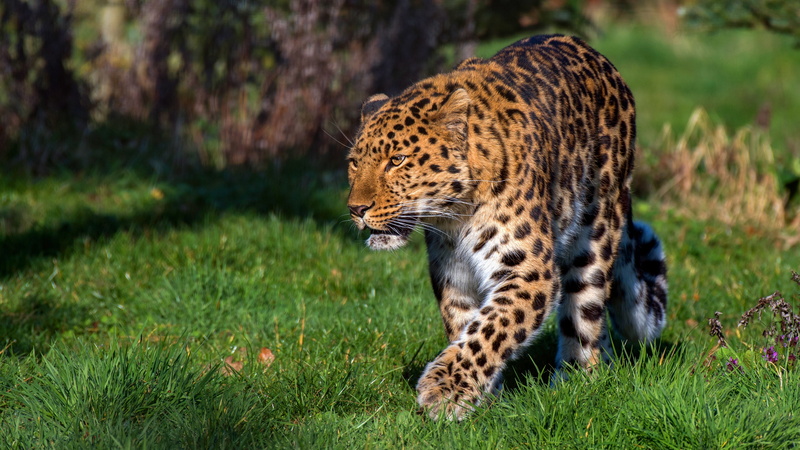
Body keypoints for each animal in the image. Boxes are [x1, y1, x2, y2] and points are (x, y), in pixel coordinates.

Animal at [347, 34, 668, 420]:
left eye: (397, 160)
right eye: (353, 163)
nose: (356, 209)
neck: (454, 216)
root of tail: (604, 62)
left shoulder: (529, 270)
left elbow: (492, 327)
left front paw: (444, 390)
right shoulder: (454, 272)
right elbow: (467, 326)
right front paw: (481, 398)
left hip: (596, 234)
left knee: (586, 313)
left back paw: (577, 379)